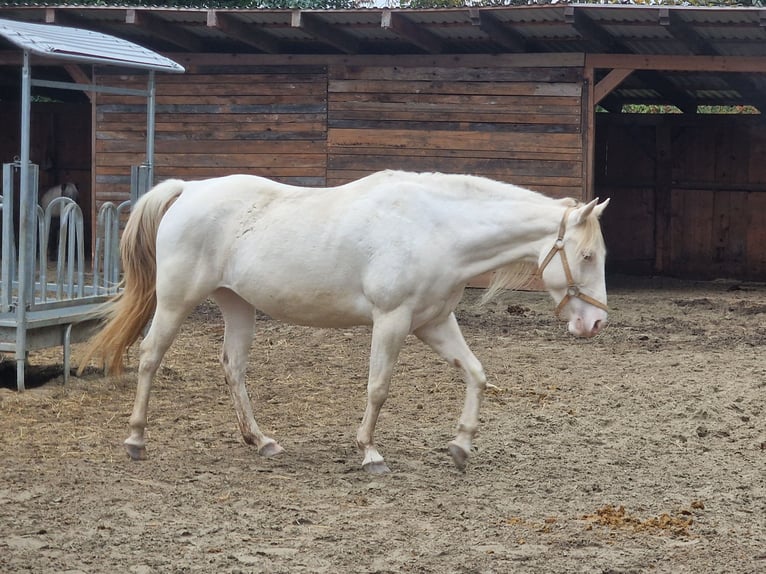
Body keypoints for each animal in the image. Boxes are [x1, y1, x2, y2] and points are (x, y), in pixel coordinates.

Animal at [78, 170, 610, 473]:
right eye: (586, 256)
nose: (595, 324)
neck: (436, 227)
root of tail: (188, 191)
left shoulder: (434, 322)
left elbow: (477, 374)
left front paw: (460, 447)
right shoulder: (392, 320)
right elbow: (378, 387)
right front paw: (370, 453)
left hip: (237, 304)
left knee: (233, 367)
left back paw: (261, 442)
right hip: (176, 299)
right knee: (151, 357)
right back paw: (136, 440)